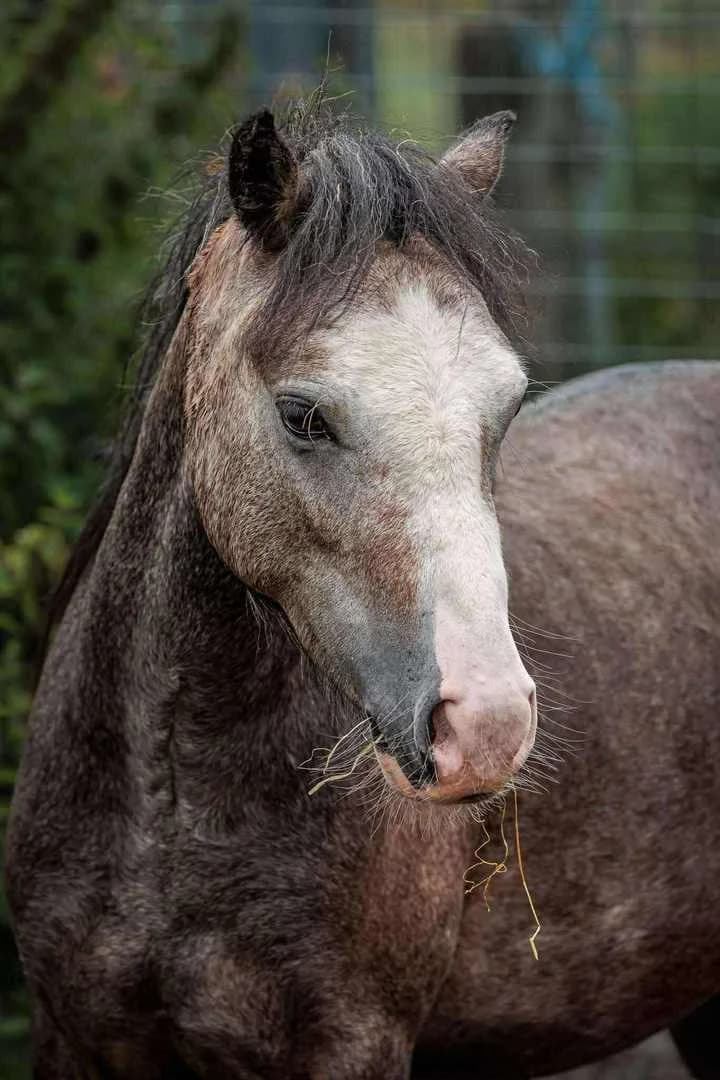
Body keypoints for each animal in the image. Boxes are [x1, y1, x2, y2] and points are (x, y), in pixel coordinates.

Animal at [6, 99, 720, 1080]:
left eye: (507, 406)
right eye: (303, 415)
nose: (487, 726)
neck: (168, 815)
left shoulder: (350, 1045)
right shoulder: (72, 1037)